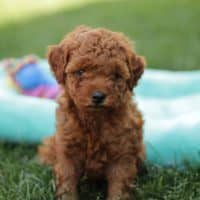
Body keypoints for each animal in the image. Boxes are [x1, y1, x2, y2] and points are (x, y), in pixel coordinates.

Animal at [38, 25, 146, 199]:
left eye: (116, 75)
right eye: (80, 72)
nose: (98, 96)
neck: (94, 119)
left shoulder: (122, 154)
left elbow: (119, 186)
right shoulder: (67, 151)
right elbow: (67, 183)